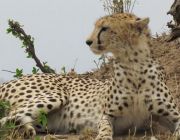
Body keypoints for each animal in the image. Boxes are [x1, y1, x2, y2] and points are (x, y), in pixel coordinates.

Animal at [0, 13, 180, 140]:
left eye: (105, 28)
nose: (88, 41)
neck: (133, 64)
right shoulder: (107, 114)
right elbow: (105, 126)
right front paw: (103, 136)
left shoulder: (172, 114)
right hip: (57, 95)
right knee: (7, 118)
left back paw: (26, 130)